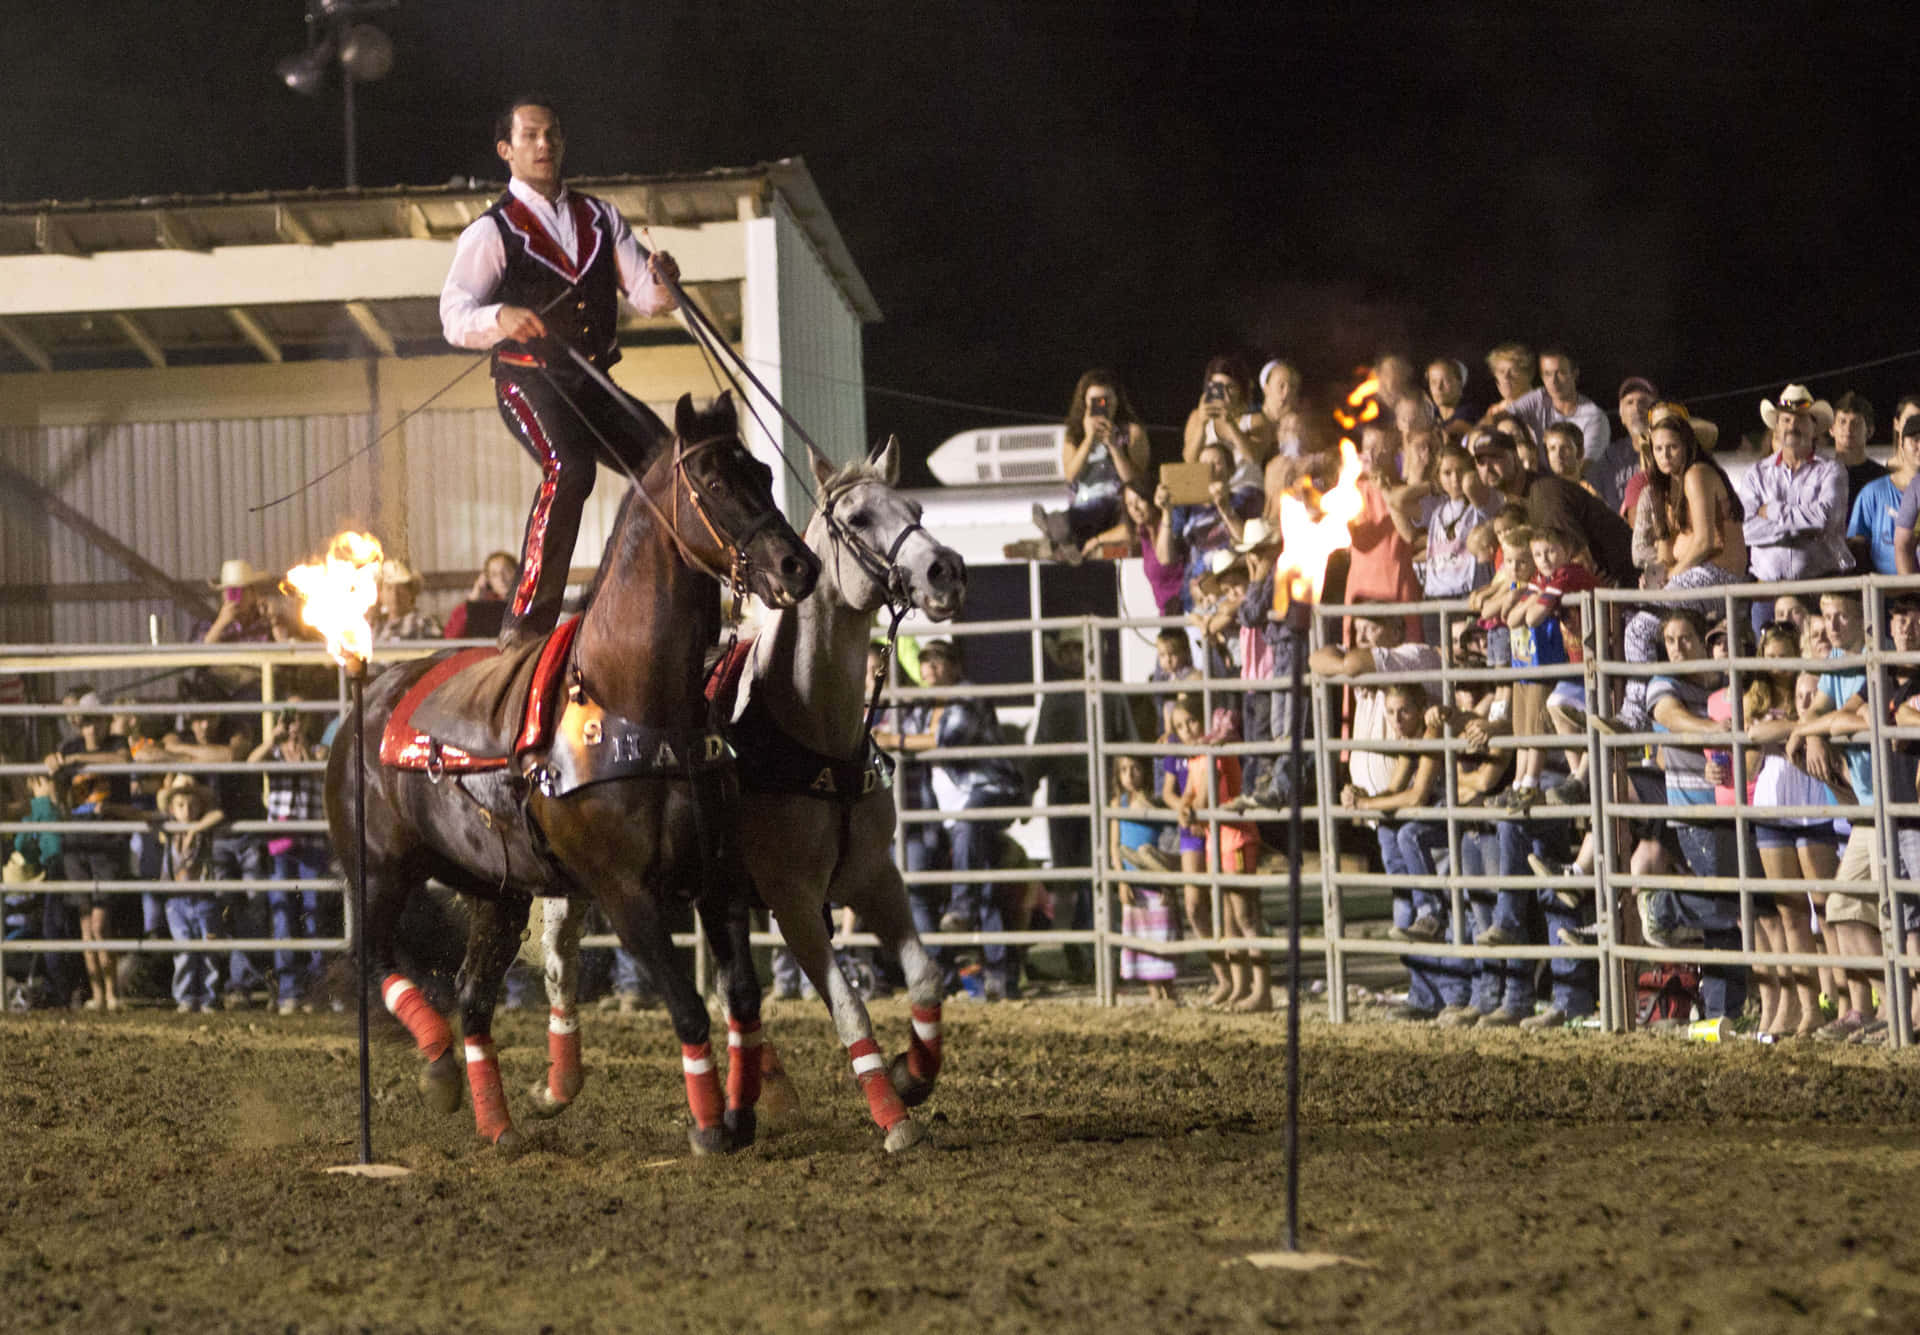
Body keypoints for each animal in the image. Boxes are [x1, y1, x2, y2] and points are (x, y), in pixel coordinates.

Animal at [324, 391, 817, 1152]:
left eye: (763, 474)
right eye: (712, 482)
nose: (798, 566)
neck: (634, 698)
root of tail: (365, 706)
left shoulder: (719, 881)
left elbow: (740, 997)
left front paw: (739, 1113)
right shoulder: (625, 894)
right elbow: (688, 1007)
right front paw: (709, 1126)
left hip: (497, 892)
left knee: (472, 998)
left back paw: (497, 1123)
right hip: (378, 872)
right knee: (373, 962)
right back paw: (437, 1068)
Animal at [529, 437, 967, 1152]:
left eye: (917, 510)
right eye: (858, 519)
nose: (944, 572)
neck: (809, 723)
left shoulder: (874, 878)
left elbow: (926, 977)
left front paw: (912, 1074)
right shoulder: (792, 900)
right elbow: (850, 1010)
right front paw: (894, 1117)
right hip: (578, 881)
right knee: (560, 961)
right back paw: (556, 1086)